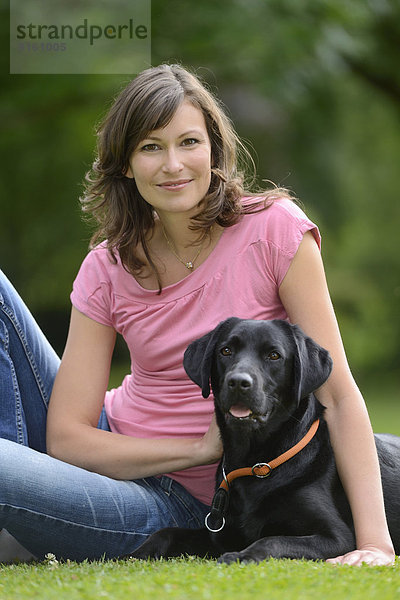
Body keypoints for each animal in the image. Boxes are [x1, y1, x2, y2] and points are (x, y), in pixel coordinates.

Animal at [128, 318, 400, 564]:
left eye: (274, 355)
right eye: (226, 351)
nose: (239, 382)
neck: (257, 463)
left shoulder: (337, 537)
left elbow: (271, 540)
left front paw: (241, 556)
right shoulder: (221, 533)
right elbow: (167, 533)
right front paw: (134, 554)